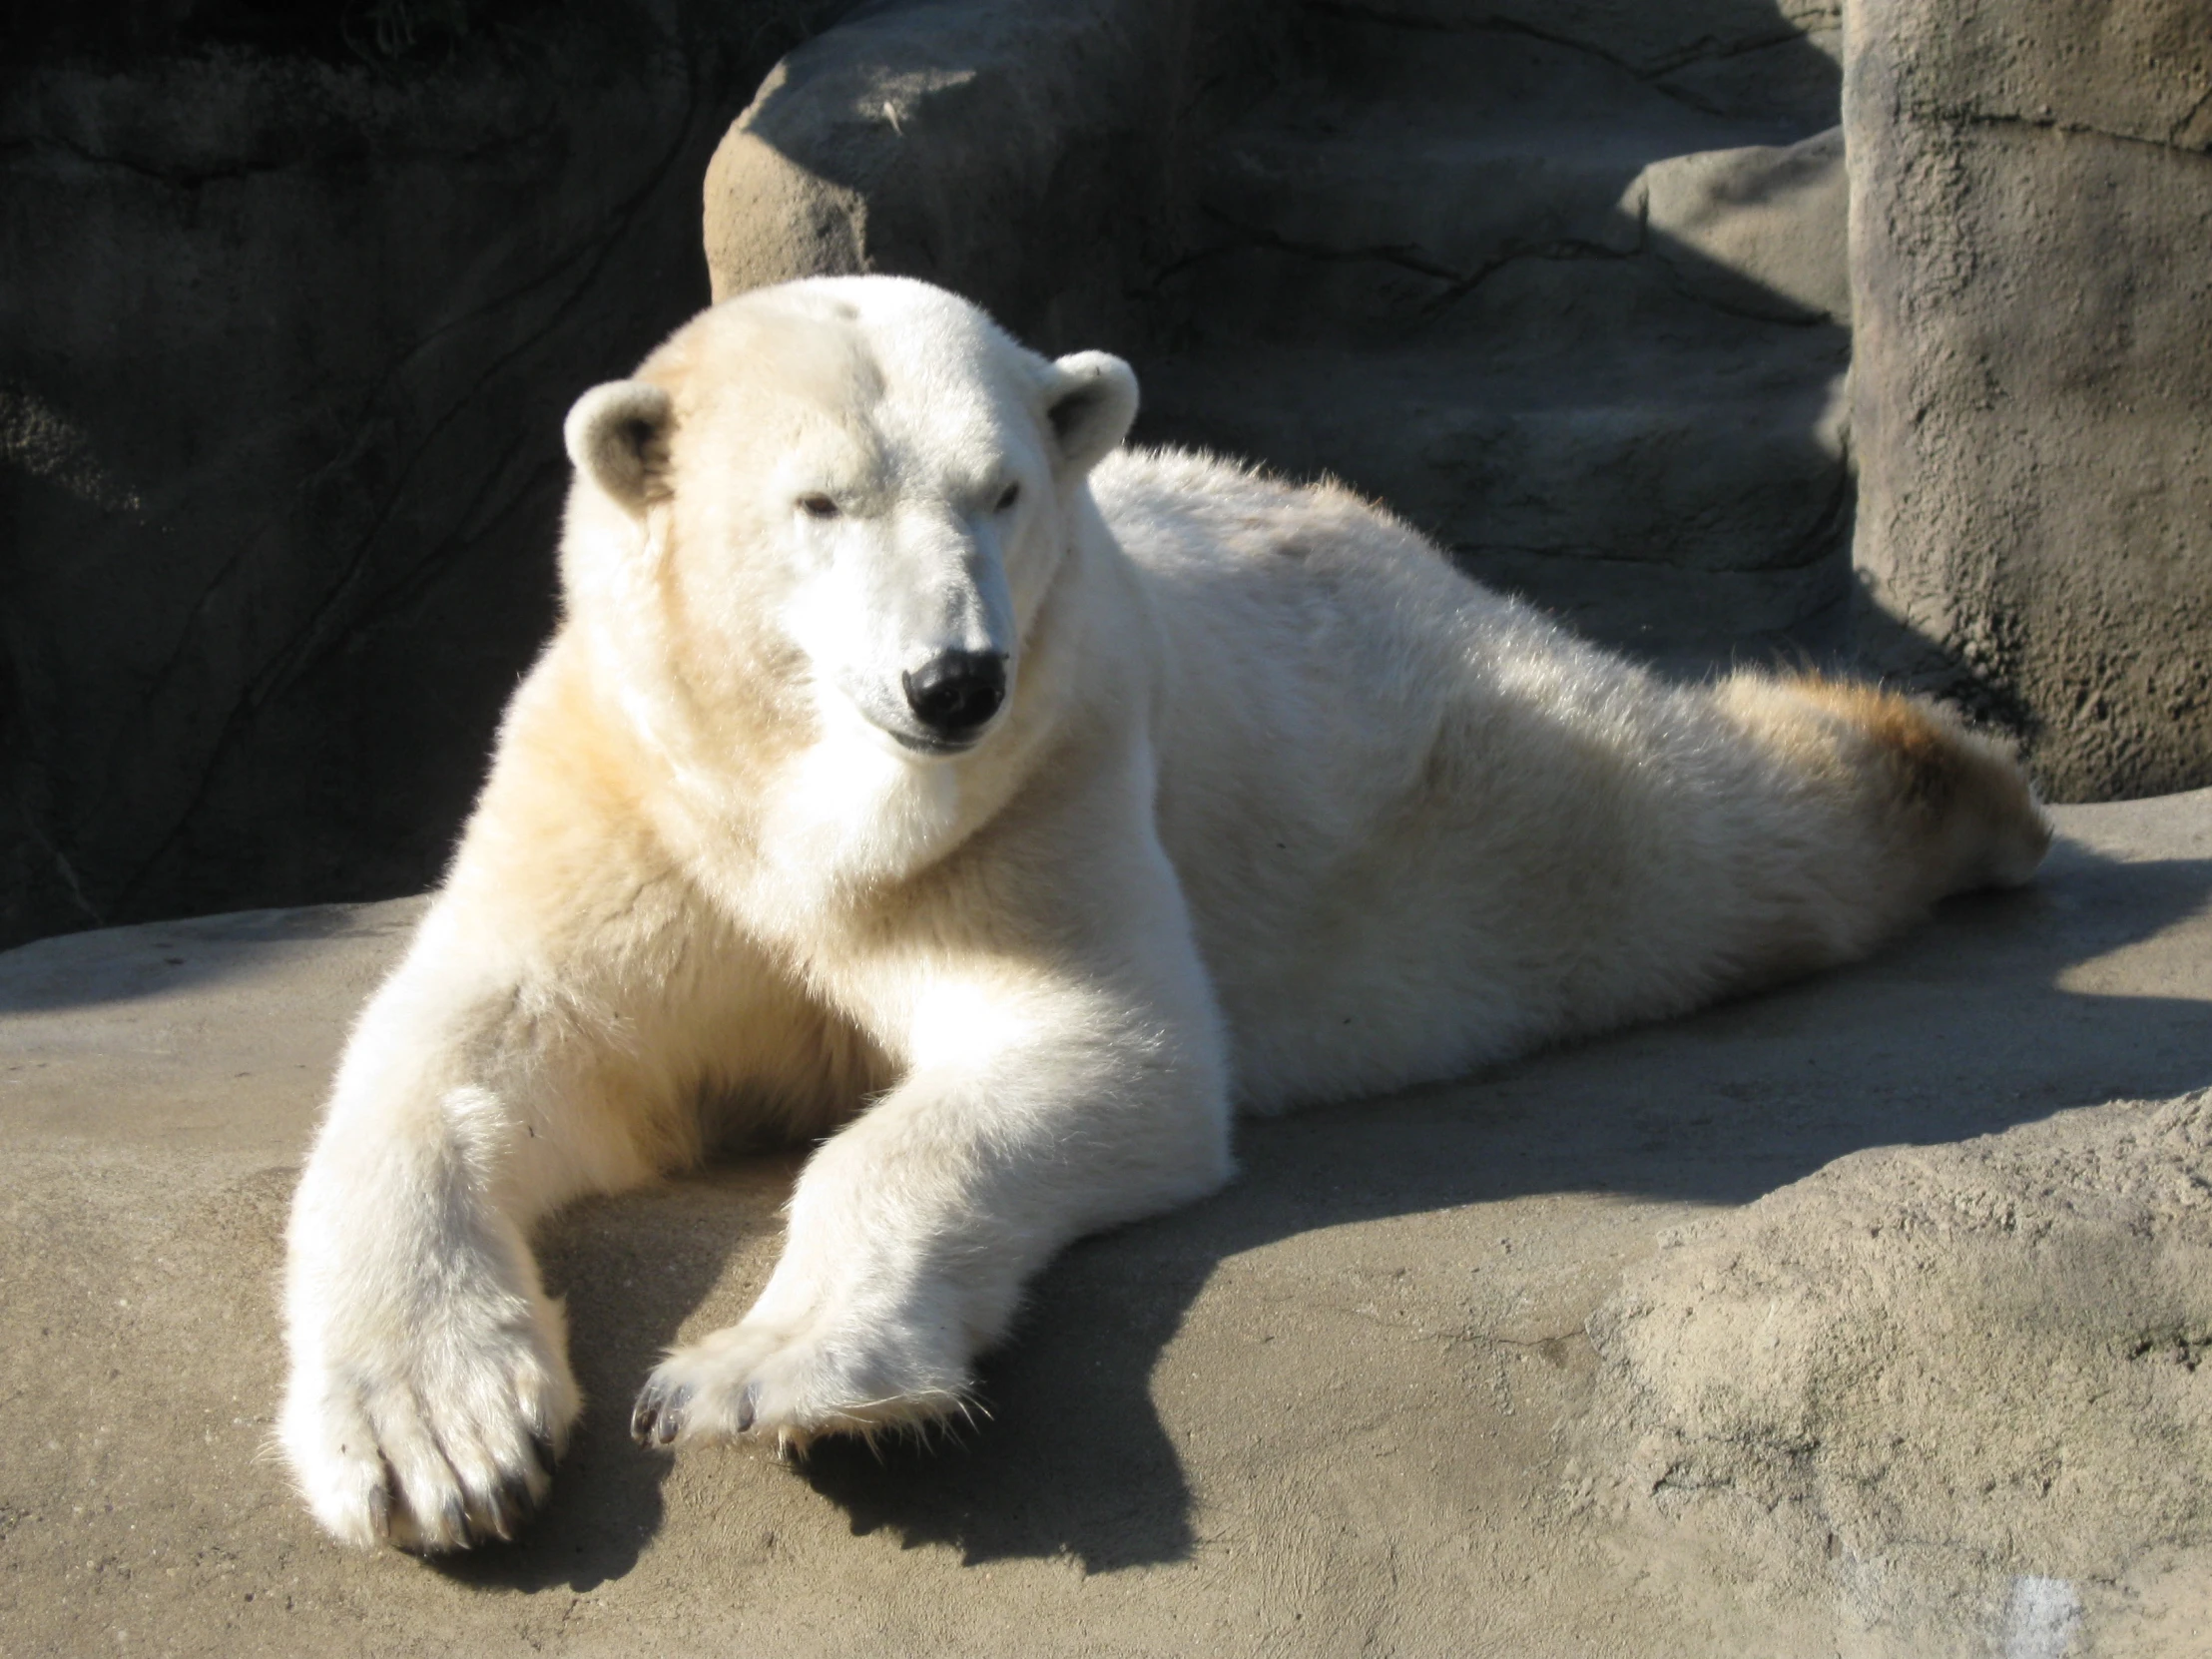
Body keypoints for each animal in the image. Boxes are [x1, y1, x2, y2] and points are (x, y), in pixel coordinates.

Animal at [276, 276, 2052, 1557]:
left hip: (1477, 795)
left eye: (1001, 489)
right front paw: (433, 1441)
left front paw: (766, 1372)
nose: (955, 677)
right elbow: (482, 1046)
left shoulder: (1049, 771)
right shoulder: (625, 788)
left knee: (1709, 843)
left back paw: (1973, 786)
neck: (802, 801)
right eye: (820, 502)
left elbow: (1090, 1043)